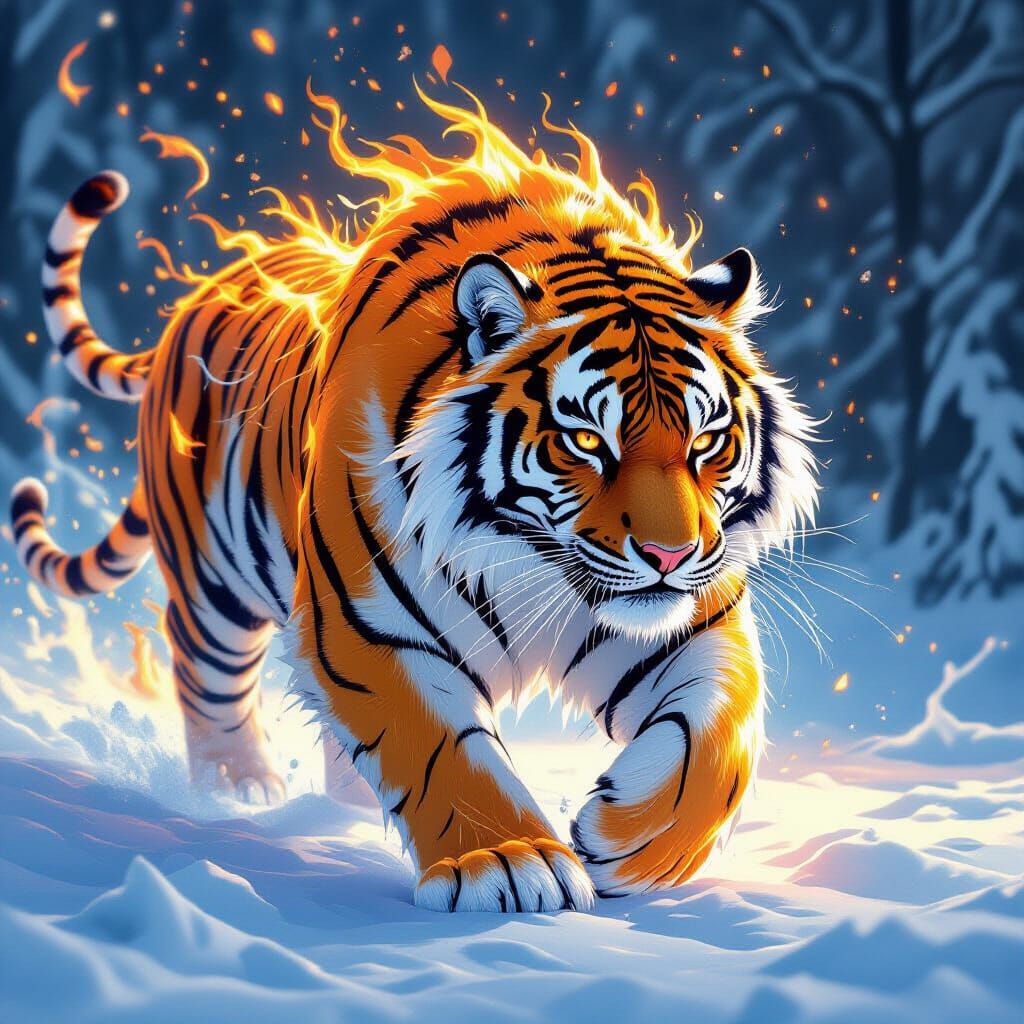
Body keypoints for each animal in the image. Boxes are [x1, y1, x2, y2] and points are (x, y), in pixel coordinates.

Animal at [10, 87, 818, 913]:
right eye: (588, 440)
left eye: (707, 440)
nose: (669, 554)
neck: (529, 559)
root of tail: (192, 301)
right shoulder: (369, 627)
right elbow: (441, 750)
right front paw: (508, 862)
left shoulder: (691, 625)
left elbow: (719, 732)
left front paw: (634, 843)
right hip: (215, 583)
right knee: (205, 674)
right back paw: (238, 790)